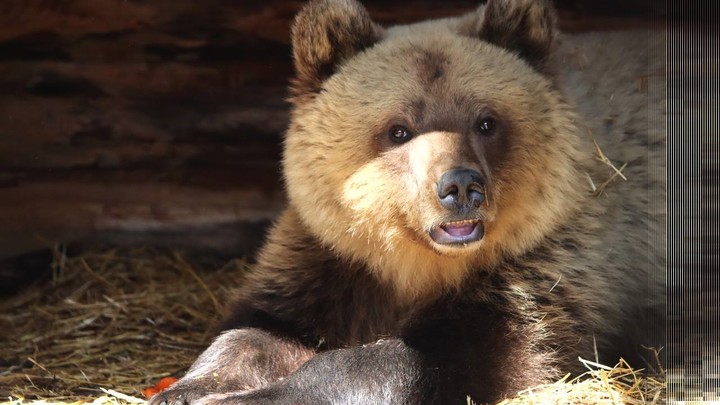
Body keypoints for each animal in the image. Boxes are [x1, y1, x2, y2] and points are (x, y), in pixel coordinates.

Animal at [149, 0, 668, 402]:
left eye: (486, 121)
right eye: (399, 129)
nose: (461, 188)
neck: (413, 262)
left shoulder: (541, 271)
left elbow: (428, 356)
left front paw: (250, 398)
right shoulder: (329, 257)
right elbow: (259, 328)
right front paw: (188, 389)